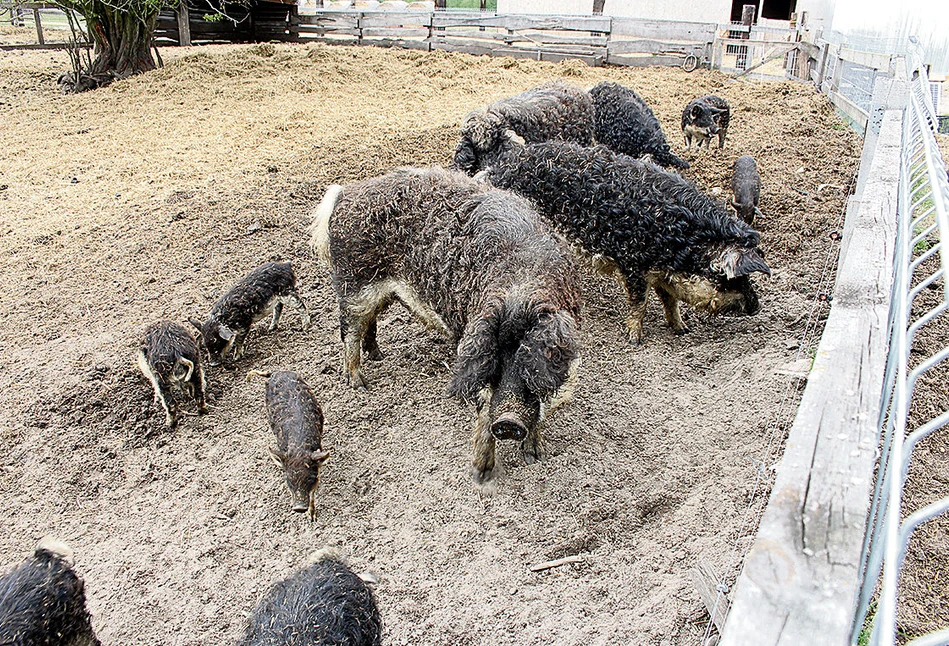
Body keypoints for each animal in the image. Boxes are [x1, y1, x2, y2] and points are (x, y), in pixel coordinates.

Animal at [312, 170, 576, 484]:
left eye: (530, 363)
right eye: (493, 361)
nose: (509, 421)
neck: (521, 286)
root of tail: (343, 193)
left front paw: (535, 457)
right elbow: (484, 408)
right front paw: (481, 473)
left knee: (369, 323)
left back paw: (377, 355)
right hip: (353, 283)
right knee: (349, 330)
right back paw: (359, 384)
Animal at [482, 142, 772, 344]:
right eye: (731, 278)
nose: (756, 306)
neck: (685, 244)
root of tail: (495, 169)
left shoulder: (661, 271)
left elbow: (670, 301)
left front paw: (682, 329)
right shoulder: (632, 263)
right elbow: (639, 302)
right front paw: (635, 340)